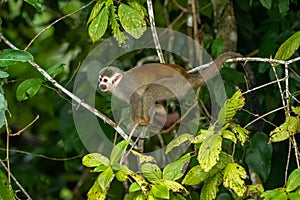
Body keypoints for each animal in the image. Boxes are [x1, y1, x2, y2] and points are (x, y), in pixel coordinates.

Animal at [98, 52, 241, 126]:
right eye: (100, 79)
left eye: (105, 80)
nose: (100, 85)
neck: (116, 85)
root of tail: (187, 77)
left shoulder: (125, 87)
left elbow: (136, 97)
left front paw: (138, 120)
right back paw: (160, 109)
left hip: (174, 85)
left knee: (151, 90)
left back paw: (147, 119)